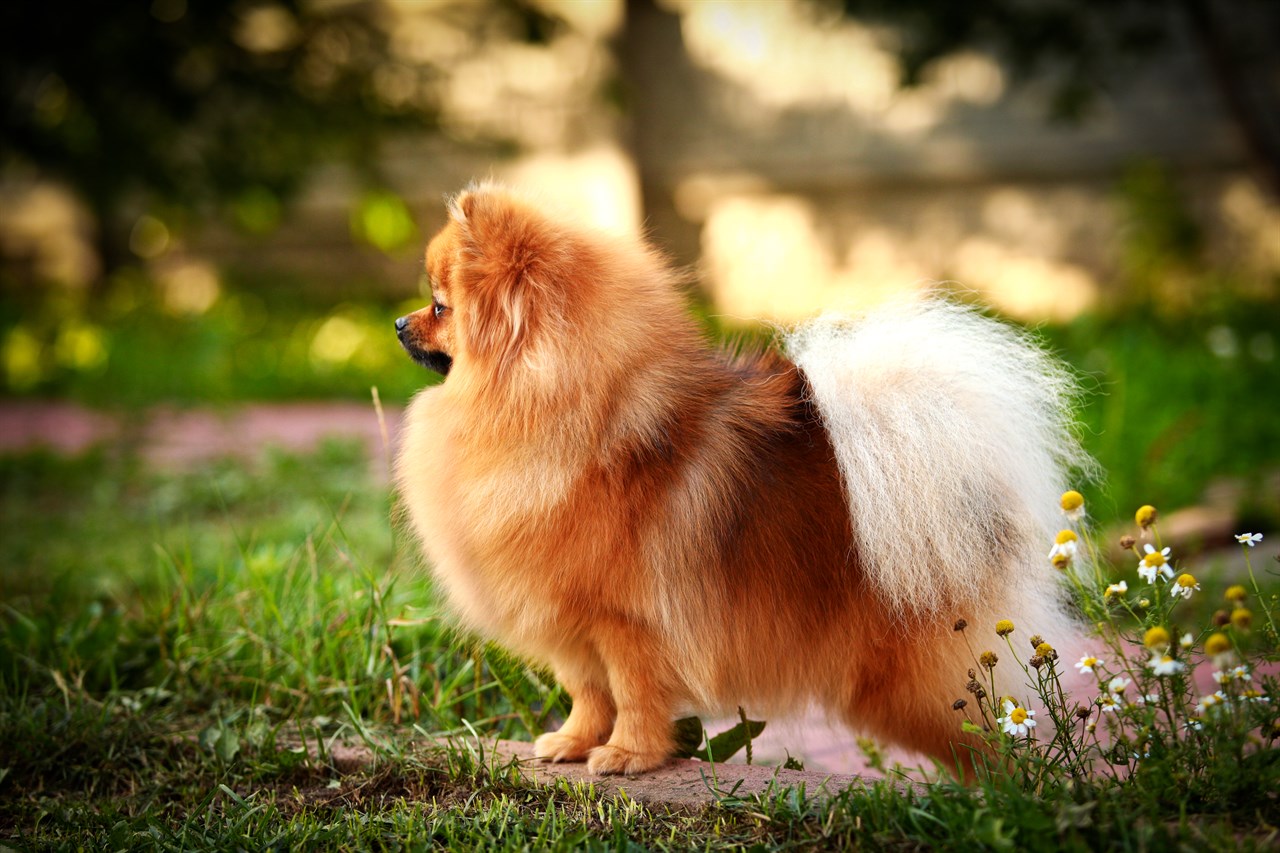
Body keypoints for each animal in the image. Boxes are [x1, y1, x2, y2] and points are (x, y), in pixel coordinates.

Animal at [391, 183, 1090, 773]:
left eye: (439, 306)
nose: (397, 324)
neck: (570, 412)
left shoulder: (631, 625)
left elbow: (634, 693)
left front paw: (628, 755)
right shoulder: (574, 628)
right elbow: (589, 693)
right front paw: (572, 741)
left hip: (912, 685)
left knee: (996, 746)